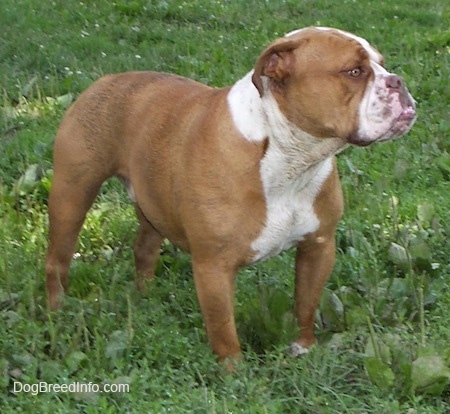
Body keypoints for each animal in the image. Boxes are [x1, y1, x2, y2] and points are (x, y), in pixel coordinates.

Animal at [45, 26, 414, 366]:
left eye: (381, 65)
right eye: (354, 71)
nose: (398, 81)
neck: (291, 159)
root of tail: (107, 79)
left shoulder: (319, 246)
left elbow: (306, 302)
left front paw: (303, 348)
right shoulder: (214, 266)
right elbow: (223, 326)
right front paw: (233, 373)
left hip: (152, 204)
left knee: (145, 247)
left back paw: (145, 294)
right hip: (72, 195)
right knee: (57, 259)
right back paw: (56, 308)